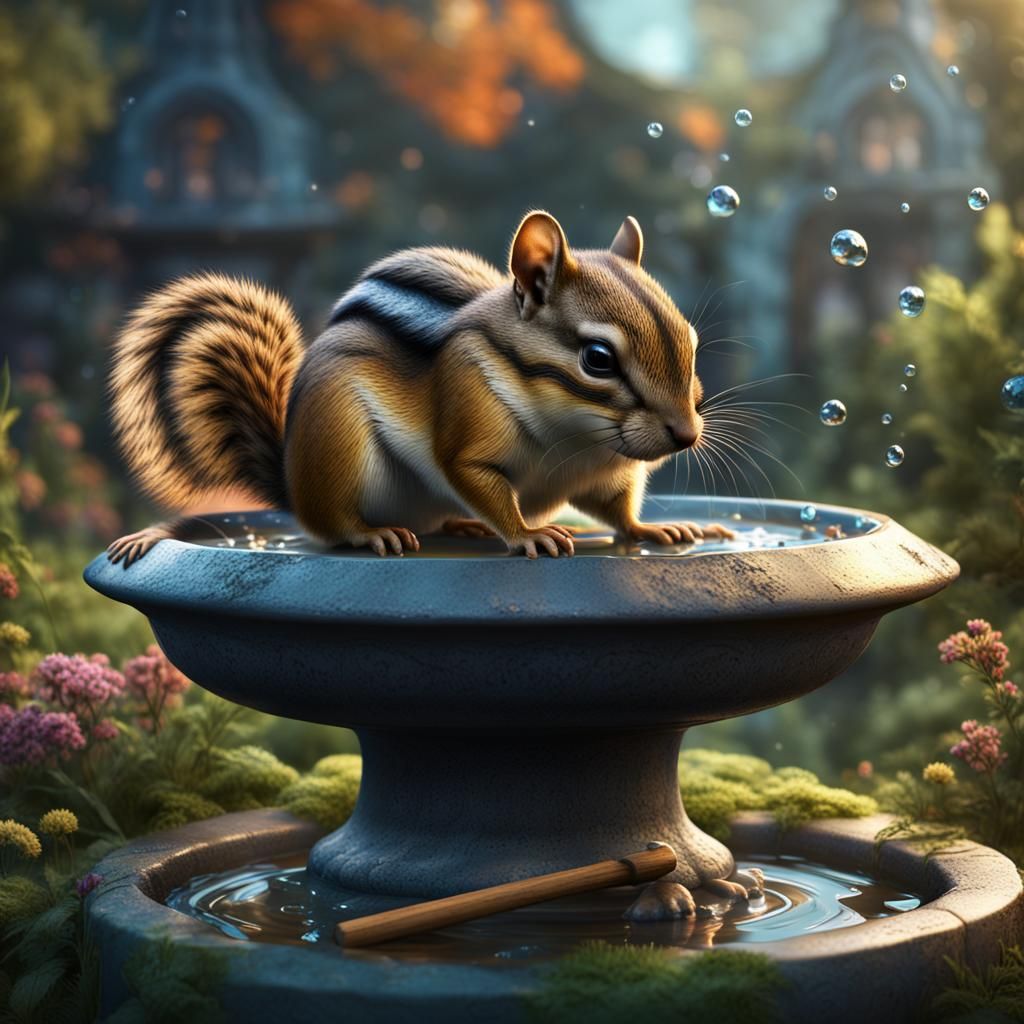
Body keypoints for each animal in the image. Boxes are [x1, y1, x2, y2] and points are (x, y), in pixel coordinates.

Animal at [106, 210, 734, 565]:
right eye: (598, 359)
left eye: (690, 341)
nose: (686, 435)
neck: (578, 435)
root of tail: (290, 483)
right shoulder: (468, 424)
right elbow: (473, 474)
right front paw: (528, 535)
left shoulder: (608, 474)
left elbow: (619, 511)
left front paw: (660, 528)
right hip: (336, 445)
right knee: (331, 524)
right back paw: (374, 535)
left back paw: (462, 524)